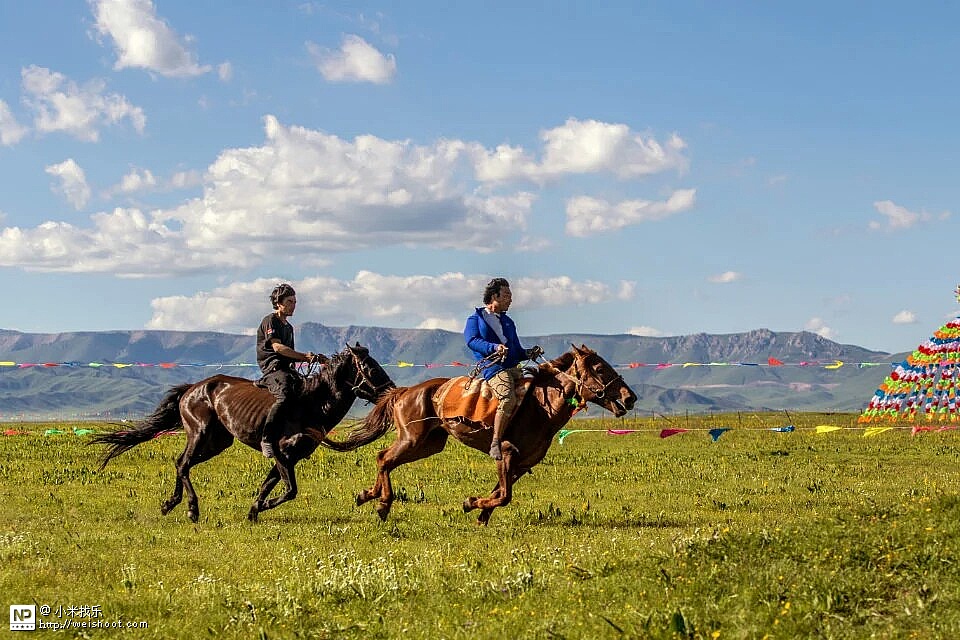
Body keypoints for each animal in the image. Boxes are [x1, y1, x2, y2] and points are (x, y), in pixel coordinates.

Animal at [91, 343, 395, 522]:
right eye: (370, 367)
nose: (390, 390)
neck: (311, 404)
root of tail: (191, 390)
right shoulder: (281, 455)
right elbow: (290, 490)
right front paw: (264, 506)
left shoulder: (289, 459)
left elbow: (269, 486)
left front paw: (254, 511)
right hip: (199, 433)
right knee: (183, 464)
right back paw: (191, 509)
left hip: (217, 442)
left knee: (180, 464)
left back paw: (170, 504)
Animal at [318, 344, 638, 525]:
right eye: (599, 368)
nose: (630, 396)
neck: (541, 407)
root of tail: (404, 392)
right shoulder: (506, 454)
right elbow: (505, 495)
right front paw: (471, 504)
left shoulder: (522, 464)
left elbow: (499, 492)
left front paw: (478, 512)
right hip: (412, 440)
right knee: (384, 458)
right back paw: (383, 504)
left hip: (428, 445)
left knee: (384, 458)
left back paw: (367, 495)